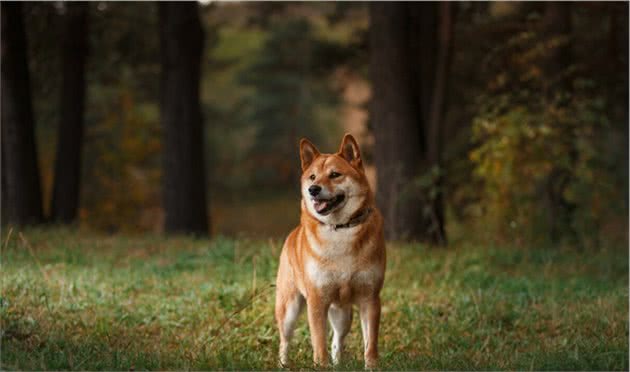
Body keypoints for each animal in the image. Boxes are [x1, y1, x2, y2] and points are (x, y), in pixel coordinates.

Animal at [276, 134, 388, 370]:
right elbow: (319, 344)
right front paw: (321, 364)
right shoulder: (317, 301)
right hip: (289, 308)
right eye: (312, 177)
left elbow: (370, 344)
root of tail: (293, 233)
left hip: (342, 313)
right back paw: (283, 364)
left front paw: (371, 366)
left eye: (335, 175)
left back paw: (338, 363)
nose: (313, 189)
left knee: (338, 340)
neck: (340, 229)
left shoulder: (370, 299)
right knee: (285, 340)